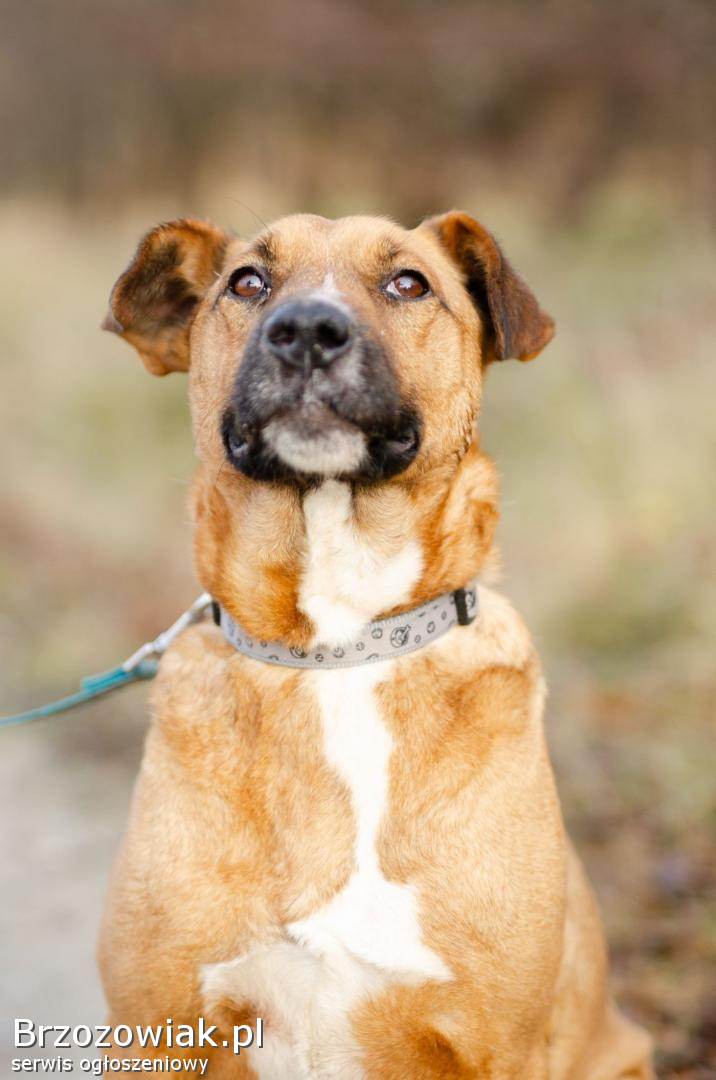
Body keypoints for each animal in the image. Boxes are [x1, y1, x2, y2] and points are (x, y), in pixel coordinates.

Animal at [99, 211, 653, 1078]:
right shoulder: (154, 1030)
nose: (305, 332)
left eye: (408, 283)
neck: (340, 647)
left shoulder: (498, 1045)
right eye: (248, 282)